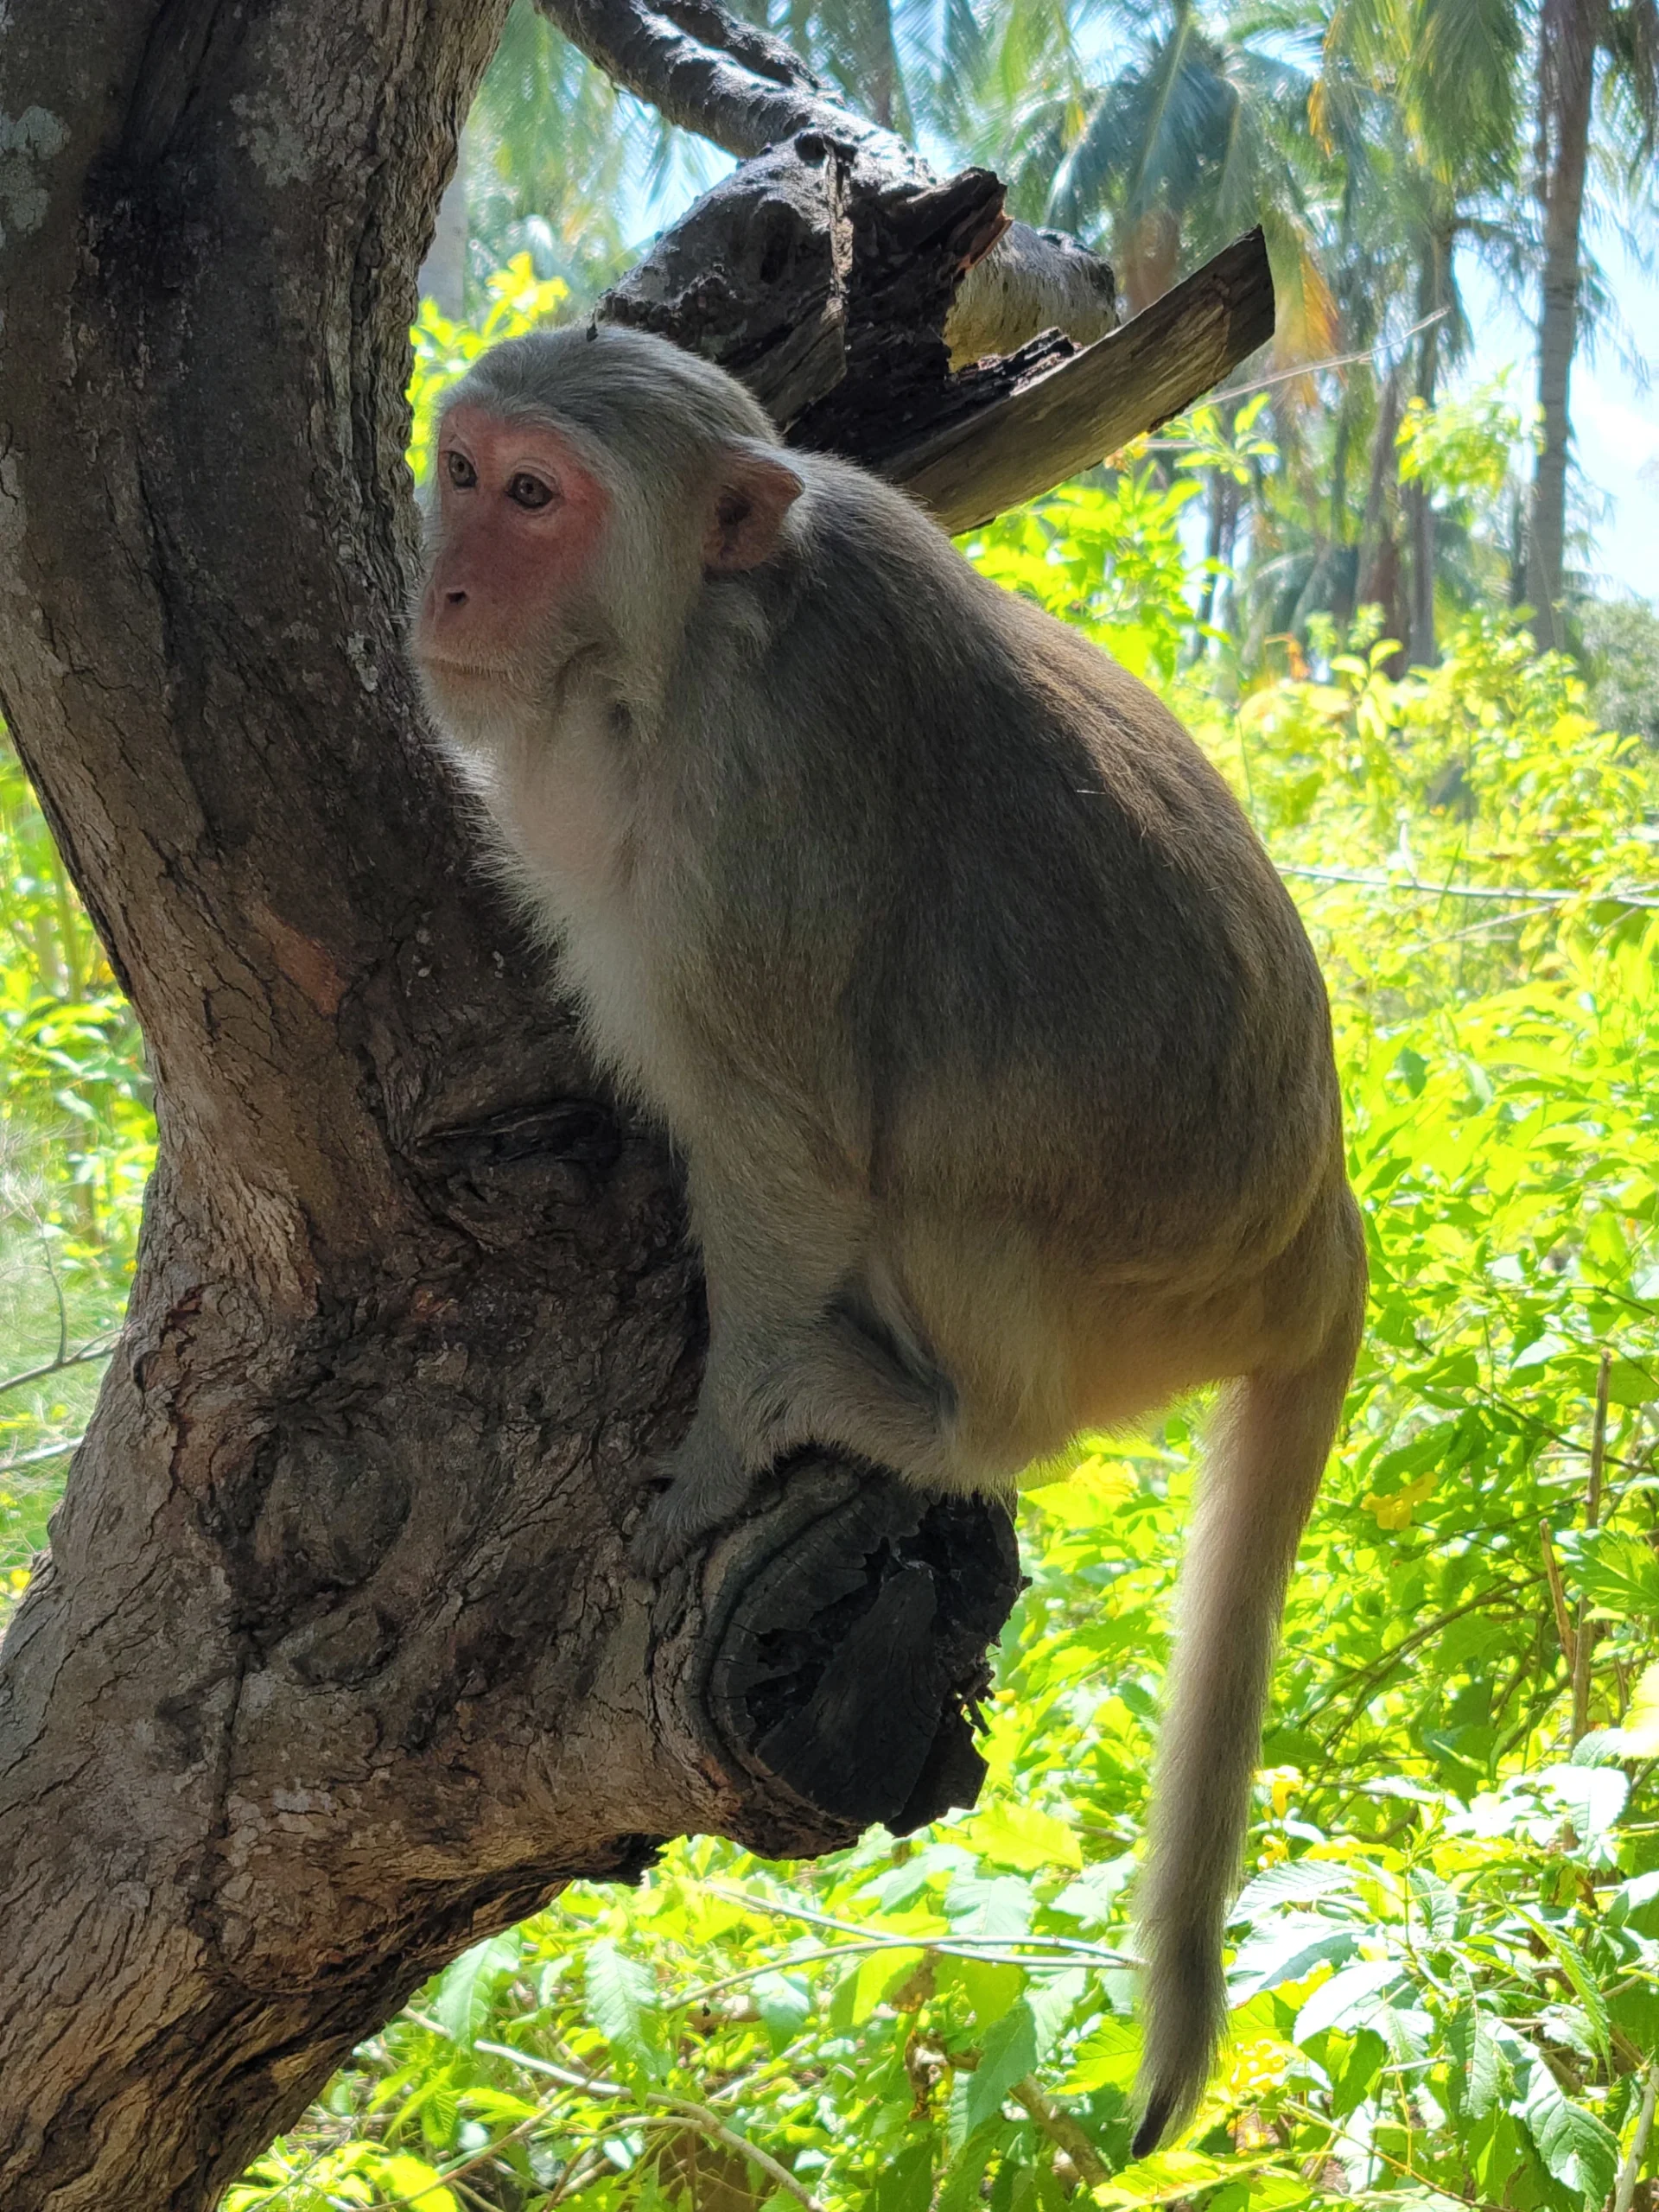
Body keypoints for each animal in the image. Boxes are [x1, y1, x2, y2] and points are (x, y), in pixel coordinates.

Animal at [408, 321, 1367, 2157]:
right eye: (465, 470)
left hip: (1102, 1302)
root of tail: (1318, 1237)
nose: (445, 581)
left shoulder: (753, 816)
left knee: (933, 1203)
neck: (677, 648)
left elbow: (796, 1150)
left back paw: (930, 1422)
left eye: (538, 498)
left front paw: (724, 1446)